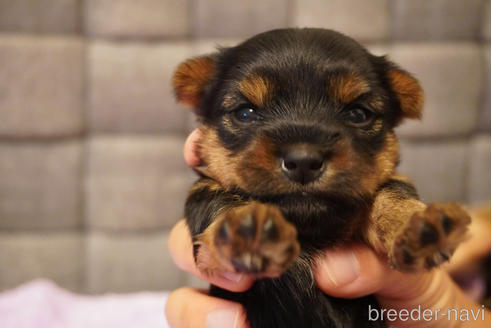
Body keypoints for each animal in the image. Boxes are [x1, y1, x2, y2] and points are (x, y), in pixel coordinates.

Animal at [171, 28, 470, 328]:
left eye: (358, 114)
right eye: (245, 113)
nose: (303, 161)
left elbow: (392, 187)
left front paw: (416, 222)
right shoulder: (204, 194)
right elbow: (213, 197)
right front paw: (249, 230)